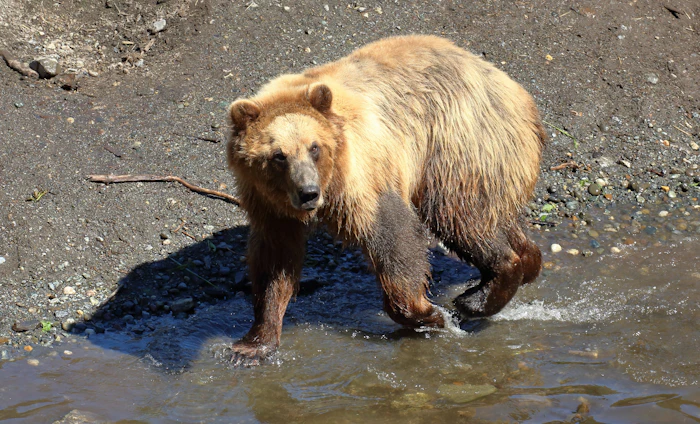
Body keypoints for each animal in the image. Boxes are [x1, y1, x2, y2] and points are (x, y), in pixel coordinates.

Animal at [226, 35, 545, 366]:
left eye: (314, 147)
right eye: (279, 155)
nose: (309, 192)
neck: (331, 183)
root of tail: (515, 90)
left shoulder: (363, 175)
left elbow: (393, 238)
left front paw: (429, 315)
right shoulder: (270, 205)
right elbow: (275, 261)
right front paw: (253, 344)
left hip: (458, 144)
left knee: (458, 215)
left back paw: (477, 297)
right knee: (497, 220)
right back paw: (526, 262)